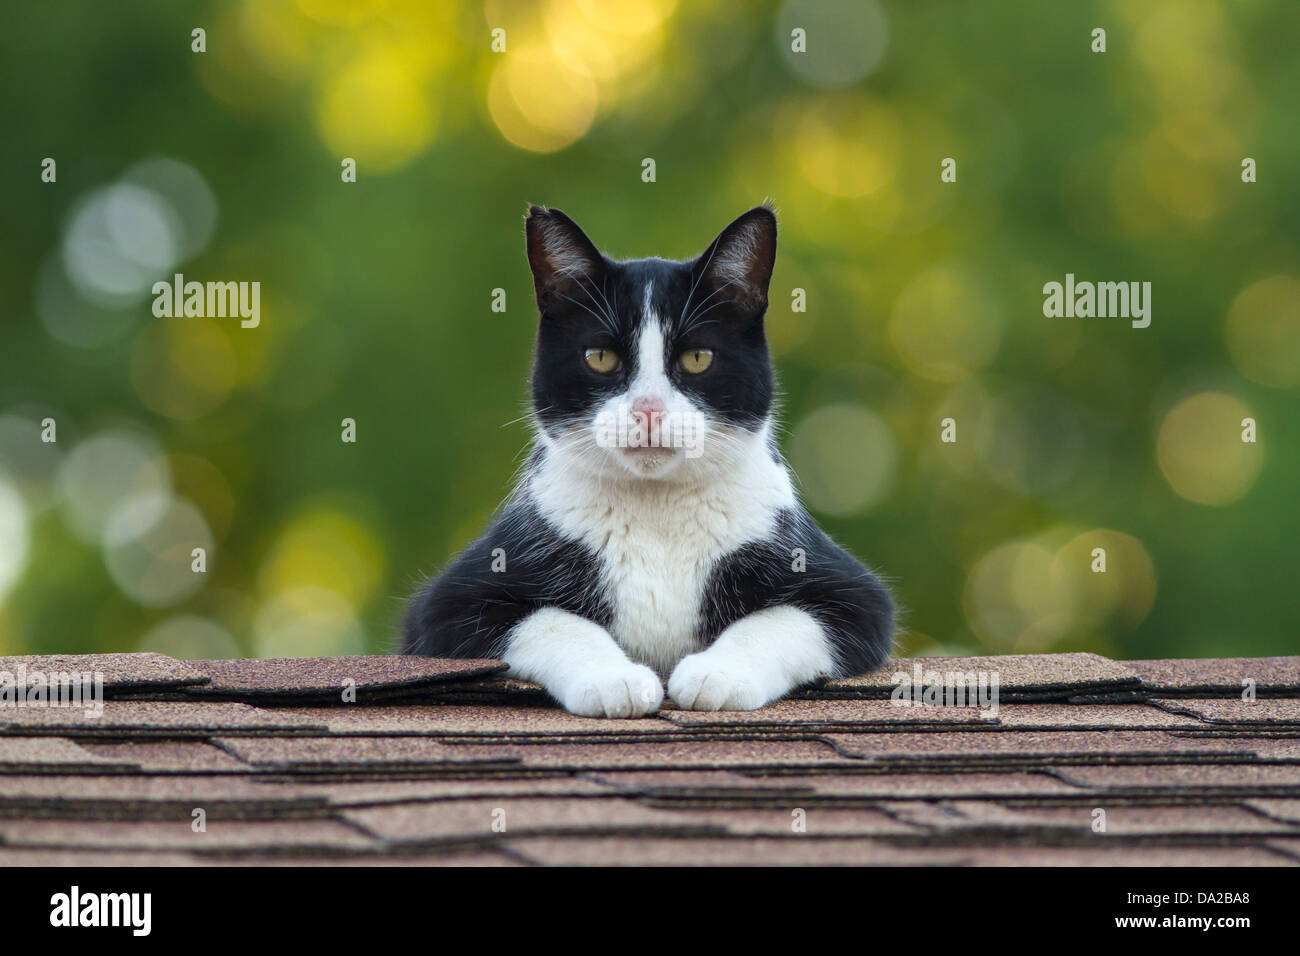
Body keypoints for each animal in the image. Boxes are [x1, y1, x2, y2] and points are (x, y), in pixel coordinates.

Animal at [403, 205, 894, 712]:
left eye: (698, 358)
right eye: (600, 357)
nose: (649, 410)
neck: (658, 513)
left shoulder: (852, 593)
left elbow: (781, 619)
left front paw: (715, 675)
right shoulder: (449, 605)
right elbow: (553, 621)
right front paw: (614, 681)